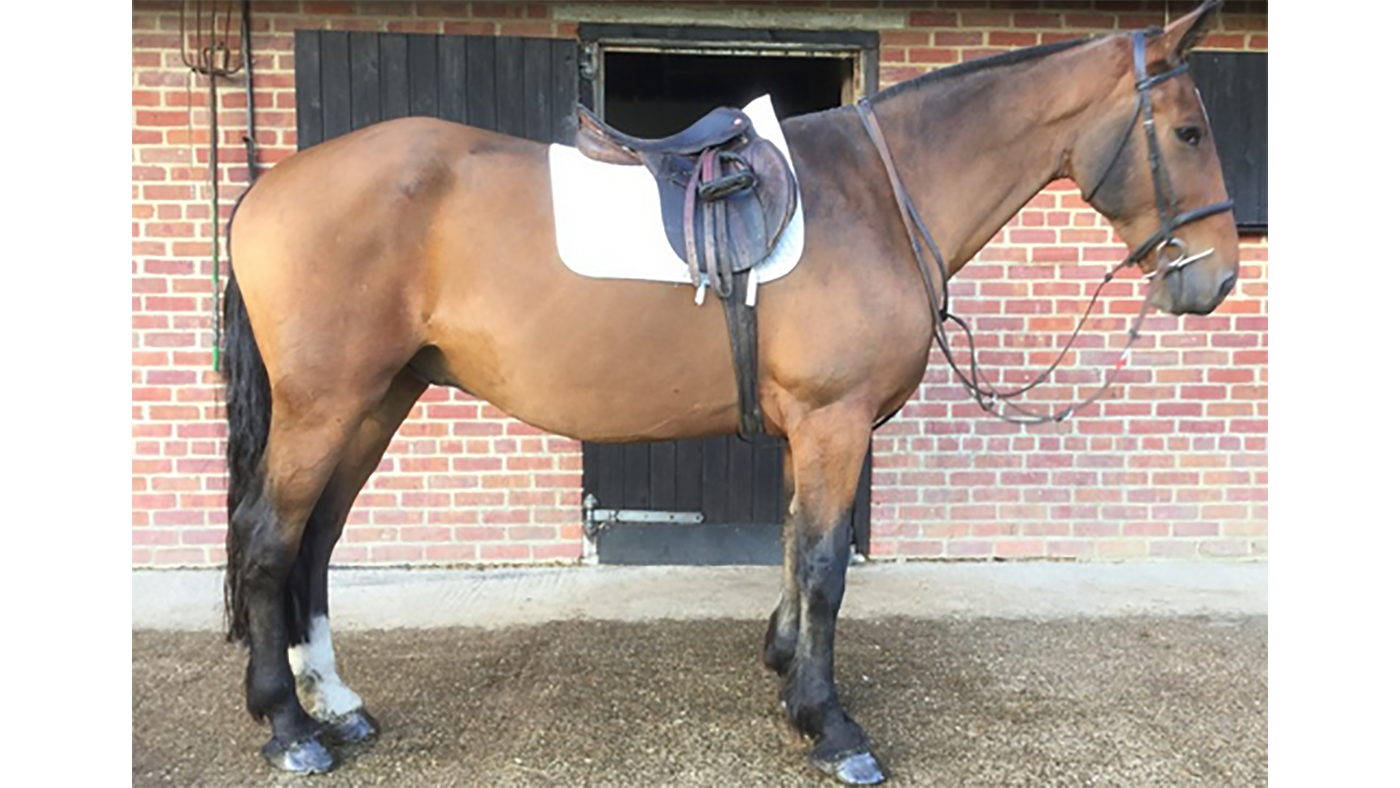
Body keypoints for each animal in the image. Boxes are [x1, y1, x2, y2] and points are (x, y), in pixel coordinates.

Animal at [219, 3, 1238, 783]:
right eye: (1189, 131)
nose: (1217, 279)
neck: (874, 196)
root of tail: (268, 191)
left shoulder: (810, 429)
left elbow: (792, 543)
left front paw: (786, 670)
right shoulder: (835, 421)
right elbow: (823, 564)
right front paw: (830, 725)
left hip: (376, 401)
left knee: (316, 542)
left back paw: (336, 703)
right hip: (326, 406)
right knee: (270, 542)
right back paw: (290, 729)